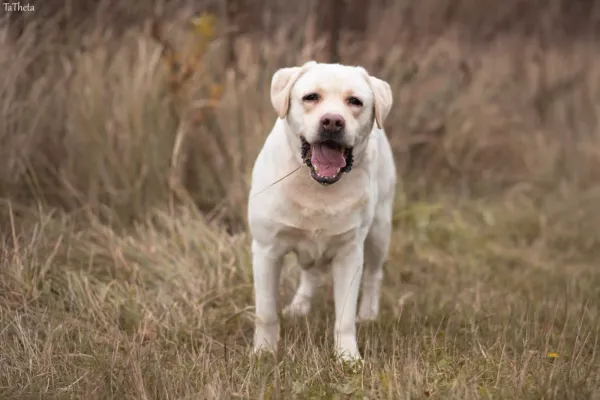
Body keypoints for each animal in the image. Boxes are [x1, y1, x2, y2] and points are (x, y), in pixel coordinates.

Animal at [246, 61, 396, 360]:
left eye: (355, 101)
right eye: (311, 97)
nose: (333, 122)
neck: (317, 186)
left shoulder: (350, 254)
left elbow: (345, 318)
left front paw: (348, 358)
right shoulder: (266, 250)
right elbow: (266, 312)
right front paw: (265, 352)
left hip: (379, 231)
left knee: (374, 275)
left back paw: (369, 314)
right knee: (310, 274)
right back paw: (299, 307)